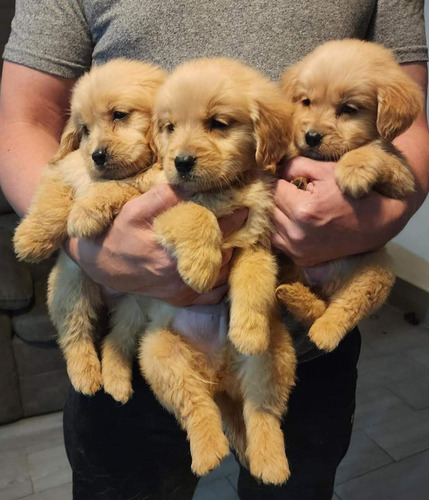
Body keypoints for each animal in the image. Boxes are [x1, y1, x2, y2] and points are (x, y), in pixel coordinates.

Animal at [14, 58, 166, 394]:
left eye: (119, 115)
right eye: (84, 130)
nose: (96, 155)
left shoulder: (147, 187)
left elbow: (116, 187)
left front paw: (84, 214)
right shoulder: (61, 172)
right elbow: (51, 204)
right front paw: (31, 239)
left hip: (136, 307)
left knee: (116, 341)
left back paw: (116, 381)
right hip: (70, 290)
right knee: (76, 337)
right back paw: (86, 376)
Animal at [122, 58, 296, 484]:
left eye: (218, 123)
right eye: (169, 127)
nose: (181, 162)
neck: (221, 191)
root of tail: (218, 376)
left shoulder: (256, 244)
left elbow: (253, 283)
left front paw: (246, 329)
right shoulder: (161, 211)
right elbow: (195, 213)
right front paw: (202, 268)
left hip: (275, 355)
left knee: (260, 413)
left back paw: (268, 462)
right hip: (159, 354)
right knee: (197, 407)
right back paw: (209, 454)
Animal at [274, 39, 422, 352]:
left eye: (349, 108)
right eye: (306, 102)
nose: (311, 136)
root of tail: (325, 281)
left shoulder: (403, 179)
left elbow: (372, 151)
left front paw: (353, 168)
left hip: (376, 271)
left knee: (342, 309)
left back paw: (324, 331)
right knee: (315, 307)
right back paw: (294, 296)